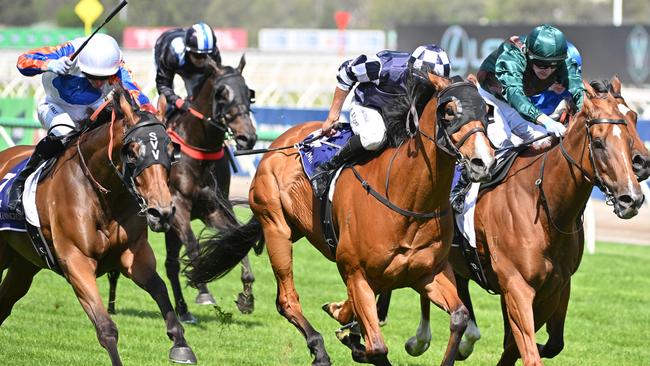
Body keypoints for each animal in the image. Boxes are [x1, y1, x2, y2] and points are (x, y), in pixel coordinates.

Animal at [0, 88, 195, 366]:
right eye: (132, 151)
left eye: (171, 151)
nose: (162, 213)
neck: (103, 197)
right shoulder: (76, 260)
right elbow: (105, 327)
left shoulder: (133, 255)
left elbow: (159, 289)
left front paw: (181, 344)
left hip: (23, 264)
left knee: (4, 303)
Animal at [107, 55, 256, 322]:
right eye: (221, 93)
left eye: (248, 93)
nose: (247, 137)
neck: (199, 155)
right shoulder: (179, 209)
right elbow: (194, 247)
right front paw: (203, 290)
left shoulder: (212, 210)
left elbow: (235, 238)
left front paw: (247, 296)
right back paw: (111, 305)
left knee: (170, 264)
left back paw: (183, 310)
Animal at [185, 73, 494, 364]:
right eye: (449, 111)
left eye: (486, 111)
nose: (482, 162)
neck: (406, 198)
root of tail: (282, 141)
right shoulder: (355, 270)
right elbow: (377, 348)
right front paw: (353, 337)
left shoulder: (427, 273)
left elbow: (459, 317)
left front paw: (345, 320)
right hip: (276, 226)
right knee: (287, 300)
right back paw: (319, 348)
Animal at [400, 80, 644, 366]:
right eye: (598, 142)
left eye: (630, 136)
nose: (632, 198)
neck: (545, 206)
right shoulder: (517, 286)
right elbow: (527, 350)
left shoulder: (557, 286)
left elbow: (542, 344)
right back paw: (419, 338)